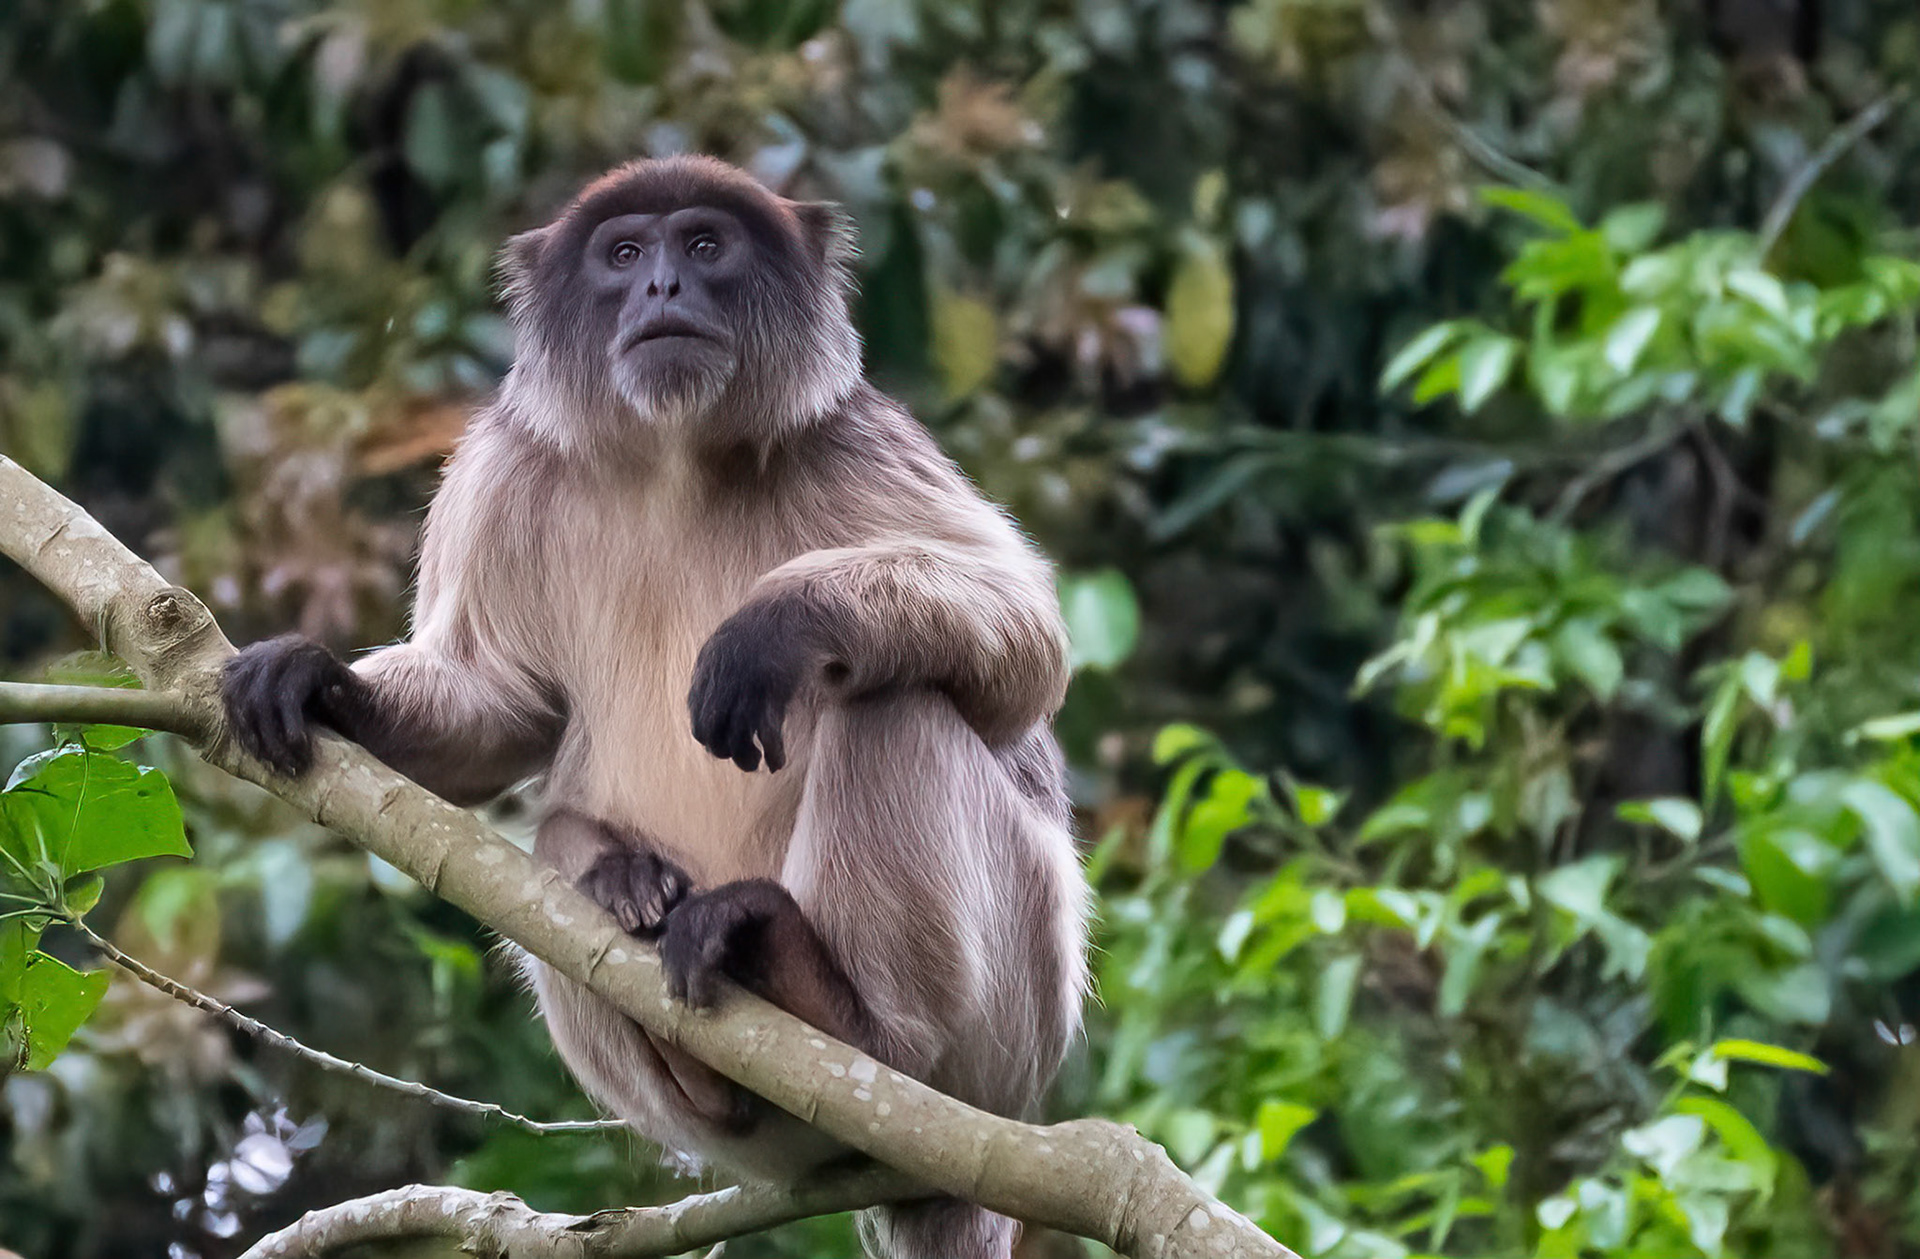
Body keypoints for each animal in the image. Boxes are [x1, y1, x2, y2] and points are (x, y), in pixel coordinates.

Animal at [220, 154, 1089, 1259]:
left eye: (705, 245)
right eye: (626, 252)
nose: (663, 287)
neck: (675, 460)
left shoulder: (856, 432)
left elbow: (1027, 649)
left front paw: (779, 626)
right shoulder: (501, 467)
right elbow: (498, 703)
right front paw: (318, 678)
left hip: (1016, 1019)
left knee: (892, 704)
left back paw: (849, 1016)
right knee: (553, 849)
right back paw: (649, 939)